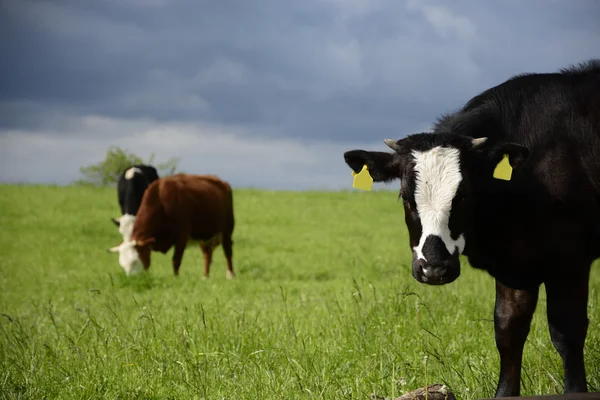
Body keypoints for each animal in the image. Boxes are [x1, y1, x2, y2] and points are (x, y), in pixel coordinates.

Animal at [342, 59, 600, 396]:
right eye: (405, 198)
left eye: (464, 195)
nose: (434, 268)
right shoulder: (515, 266)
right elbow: (508, 331)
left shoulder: (569, 261)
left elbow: (567, 333)